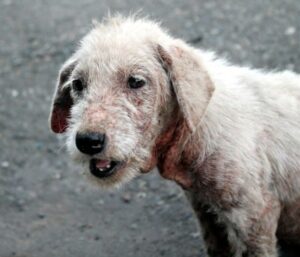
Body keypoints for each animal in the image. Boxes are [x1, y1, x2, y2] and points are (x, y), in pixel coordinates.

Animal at [48, 16, 300, 256]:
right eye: (78, 84)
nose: (87, 141)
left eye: (136, 81)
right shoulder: (206, 210)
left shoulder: (255, 214)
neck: (197, 123)